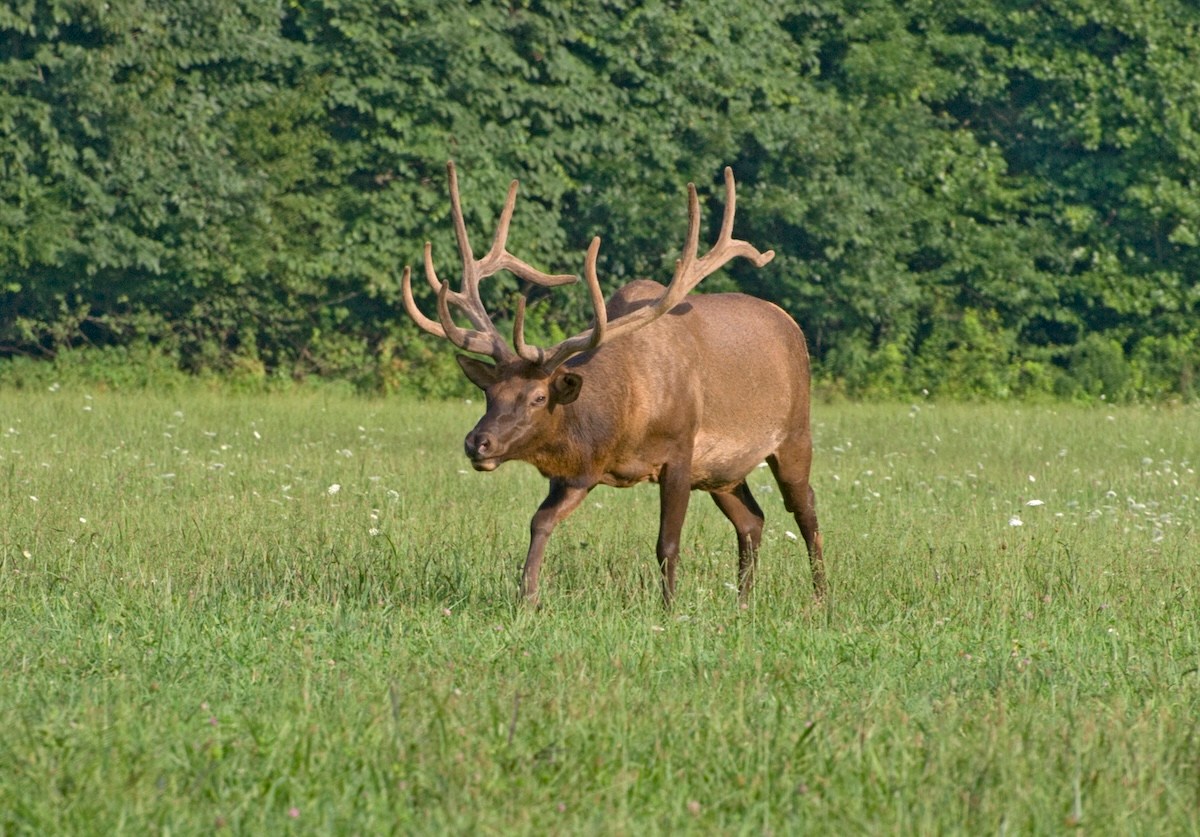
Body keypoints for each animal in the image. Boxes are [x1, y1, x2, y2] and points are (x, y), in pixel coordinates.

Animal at [401, 161, 825, 607]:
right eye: (488, 393)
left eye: (538, 397)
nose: (477, 442)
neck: (623, 421)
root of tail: (792, 324)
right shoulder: (581, 471)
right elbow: (540, 522)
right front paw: (527, 598)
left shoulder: (680, 450)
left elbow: (667, 543)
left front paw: (669, 609)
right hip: (721, 471)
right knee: (752, 519)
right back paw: (743, 602)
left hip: (794, 435)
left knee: (806, 508)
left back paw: (821, 598)